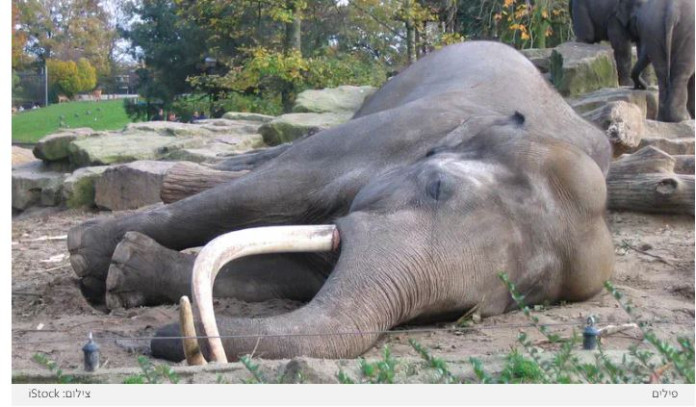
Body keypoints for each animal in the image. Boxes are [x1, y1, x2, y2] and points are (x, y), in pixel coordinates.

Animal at [66, 41, 614, 362]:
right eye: (438, 187)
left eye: (467, 312)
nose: (168, 338)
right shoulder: (397, 132)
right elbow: (260, 198)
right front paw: (90, 257)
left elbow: (286, 275)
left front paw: (124, 271)